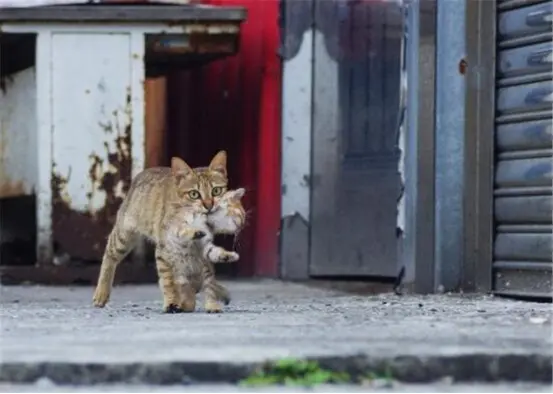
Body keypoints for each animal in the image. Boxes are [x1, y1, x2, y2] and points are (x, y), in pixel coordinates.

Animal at [91, 152, 245, 314]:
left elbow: (207, 273)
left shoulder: (201, 249)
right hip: (124, 235)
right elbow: (168, 281)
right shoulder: (164, 249)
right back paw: (101, 293)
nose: (209, 206)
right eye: (194, 194)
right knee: (109, 256)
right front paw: (172, 302)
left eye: (216, 191)